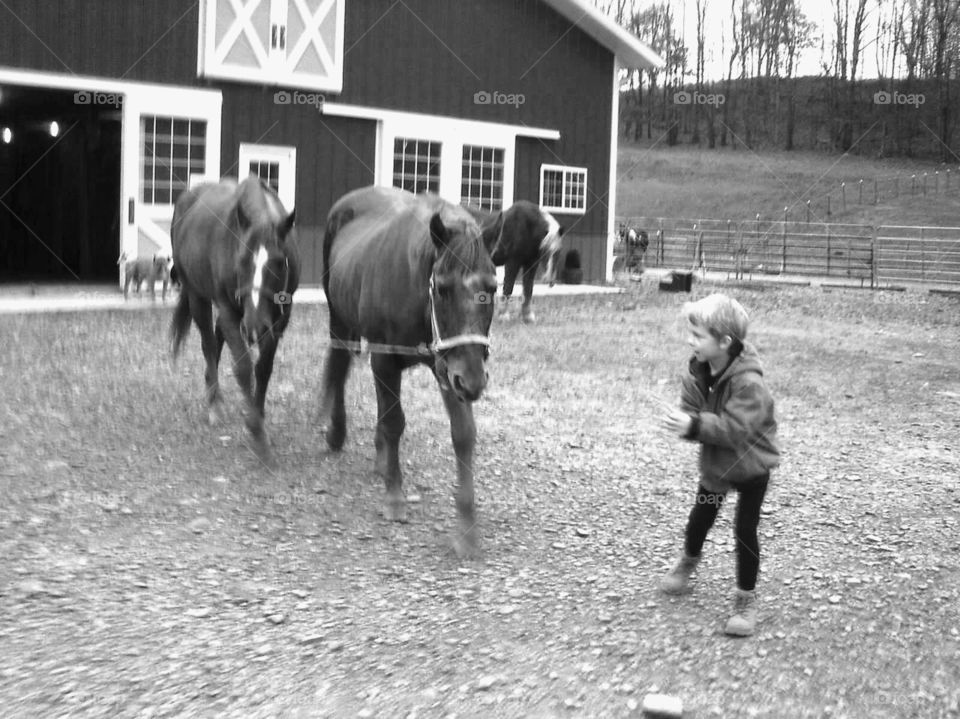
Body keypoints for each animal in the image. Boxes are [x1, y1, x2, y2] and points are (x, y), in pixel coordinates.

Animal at [169, 176, 300, 467]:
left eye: (279, 262)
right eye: (242, 260)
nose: (254, 327)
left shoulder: (280, 317)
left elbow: (264, 368)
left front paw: (257, 418)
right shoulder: (229, 309)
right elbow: (243, 367)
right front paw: (257, 435)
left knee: (216, 341)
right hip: (198, 297)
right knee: (208, 344)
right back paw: (214, 404)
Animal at [320, 185, 502, 557]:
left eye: (492, 289)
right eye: (443, 288)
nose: (474, 381)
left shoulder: (449, 366)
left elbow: (463, 434)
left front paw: (466, 528)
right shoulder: (385, 358)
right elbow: (394, 421)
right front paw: (394, 497)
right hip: (340, 322)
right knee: (340, 369)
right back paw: (338, 433)